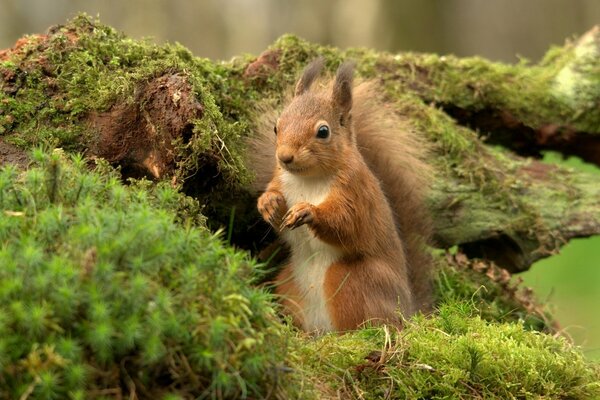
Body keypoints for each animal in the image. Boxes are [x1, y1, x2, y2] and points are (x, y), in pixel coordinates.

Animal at [248, 58, 432, 332]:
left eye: (323, 132)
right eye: (276, 127)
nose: (284, 157)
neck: (308, 179)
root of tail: (407, 310)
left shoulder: (355, 192)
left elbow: (346, 223)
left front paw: (308, 211)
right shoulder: (280, 179)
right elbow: (274, 196)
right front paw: (268, 203)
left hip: (351, 281)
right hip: (289, 285)